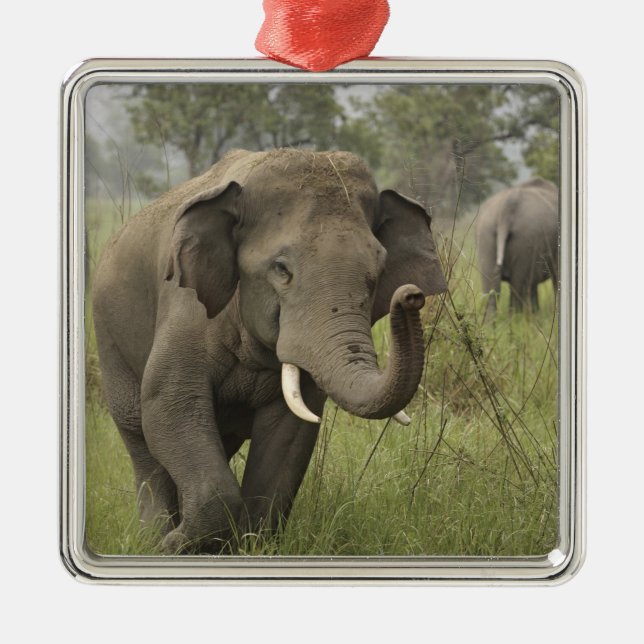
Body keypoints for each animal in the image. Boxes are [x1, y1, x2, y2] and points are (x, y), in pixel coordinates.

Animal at [92, 148, 447, 553]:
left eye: (379, 271)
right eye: (281, 270)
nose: (411, 295)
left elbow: (289, 434)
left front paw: (245, 547)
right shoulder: (186, 309)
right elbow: (169, 405)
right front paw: (173, 546)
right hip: (109, 339)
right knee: (140, 437)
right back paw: (152, 540)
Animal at [475, 178, 558, 316]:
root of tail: (508, 205)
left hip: (486, 233)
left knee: (492, 288)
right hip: (527, 238)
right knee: (518, 288)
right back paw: (515, 318)